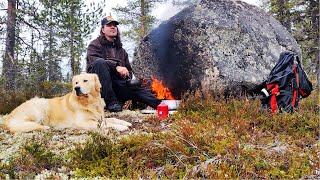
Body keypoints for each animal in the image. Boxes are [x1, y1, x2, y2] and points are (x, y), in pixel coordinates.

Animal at [3, 73, 131, 134]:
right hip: (40, 105)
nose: (76, 88)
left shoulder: (99, 117)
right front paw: (121, 127)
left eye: (85, 80)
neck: (89, 102)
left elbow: (112, 119)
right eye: (76, 82)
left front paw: (125, 122)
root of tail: (8, 118)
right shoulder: (82, 122)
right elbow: (105, 124)